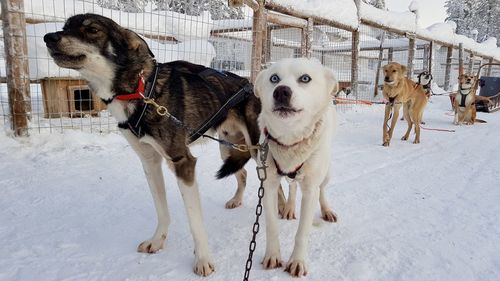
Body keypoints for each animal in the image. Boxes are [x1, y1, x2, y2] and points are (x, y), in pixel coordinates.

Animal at [254, 58, 340, 276]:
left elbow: (302, 232)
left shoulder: (309, 190)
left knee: (322, 190)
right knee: (292, 187)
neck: (290, 141)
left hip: (326, 173)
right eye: (274, 78)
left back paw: (326, 209)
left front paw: (297, 261)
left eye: (305, 78)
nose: (281, 91)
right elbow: (271, 226)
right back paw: (290, 207)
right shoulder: (269, 185)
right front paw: (272, 255)